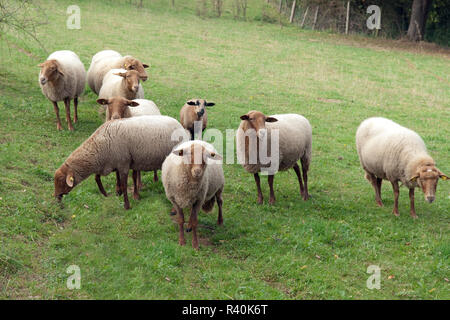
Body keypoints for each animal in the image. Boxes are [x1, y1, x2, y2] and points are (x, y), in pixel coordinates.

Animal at [55, 114, 190, 209]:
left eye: (61, 181)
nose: (56, 198)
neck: (100, 146)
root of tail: (179, 125)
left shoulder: (123, 164)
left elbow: (124, 184)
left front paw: (127, 205)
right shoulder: (110, 163)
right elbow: (98, 177)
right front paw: (107, 193)